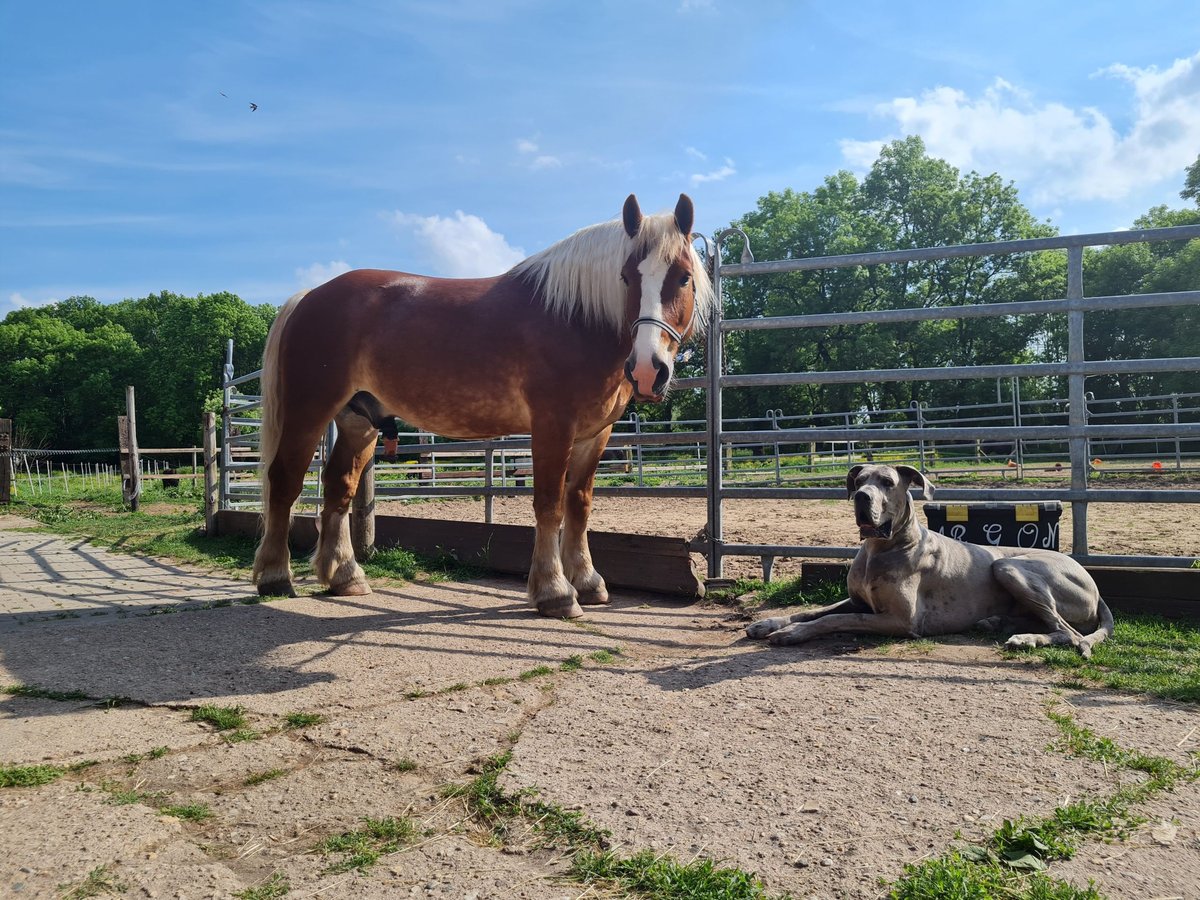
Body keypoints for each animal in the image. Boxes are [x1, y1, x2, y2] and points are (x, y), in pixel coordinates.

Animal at [247, 195, 705, 619]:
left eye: (683, 278)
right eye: (626, 278)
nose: (647, 369)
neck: (576, 317)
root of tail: (310, 295)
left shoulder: (596, 433)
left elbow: (579, 504)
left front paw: (588, 582)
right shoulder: (553, 426)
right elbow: (549, 505)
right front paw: (555, 591)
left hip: (359, 422)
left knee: (338, 487)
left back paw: (345, 576)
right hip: (309, 411)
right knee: (284, 481)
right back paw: (274, 576)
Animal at [744, 468, 1108, 657]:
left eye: (887, 482)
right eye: (859, 481)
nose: (861, 497)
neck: (880, 547)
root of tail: (1094, 585)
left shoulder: (901, 620)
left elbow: (835, 619)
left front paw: (792, 633)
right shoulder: (859, 600)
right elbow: (815, 610)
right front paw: (770, 623)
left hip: (1008, 567)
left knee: (1069, 633)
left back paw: (1026, 639)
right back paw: (998, 624)